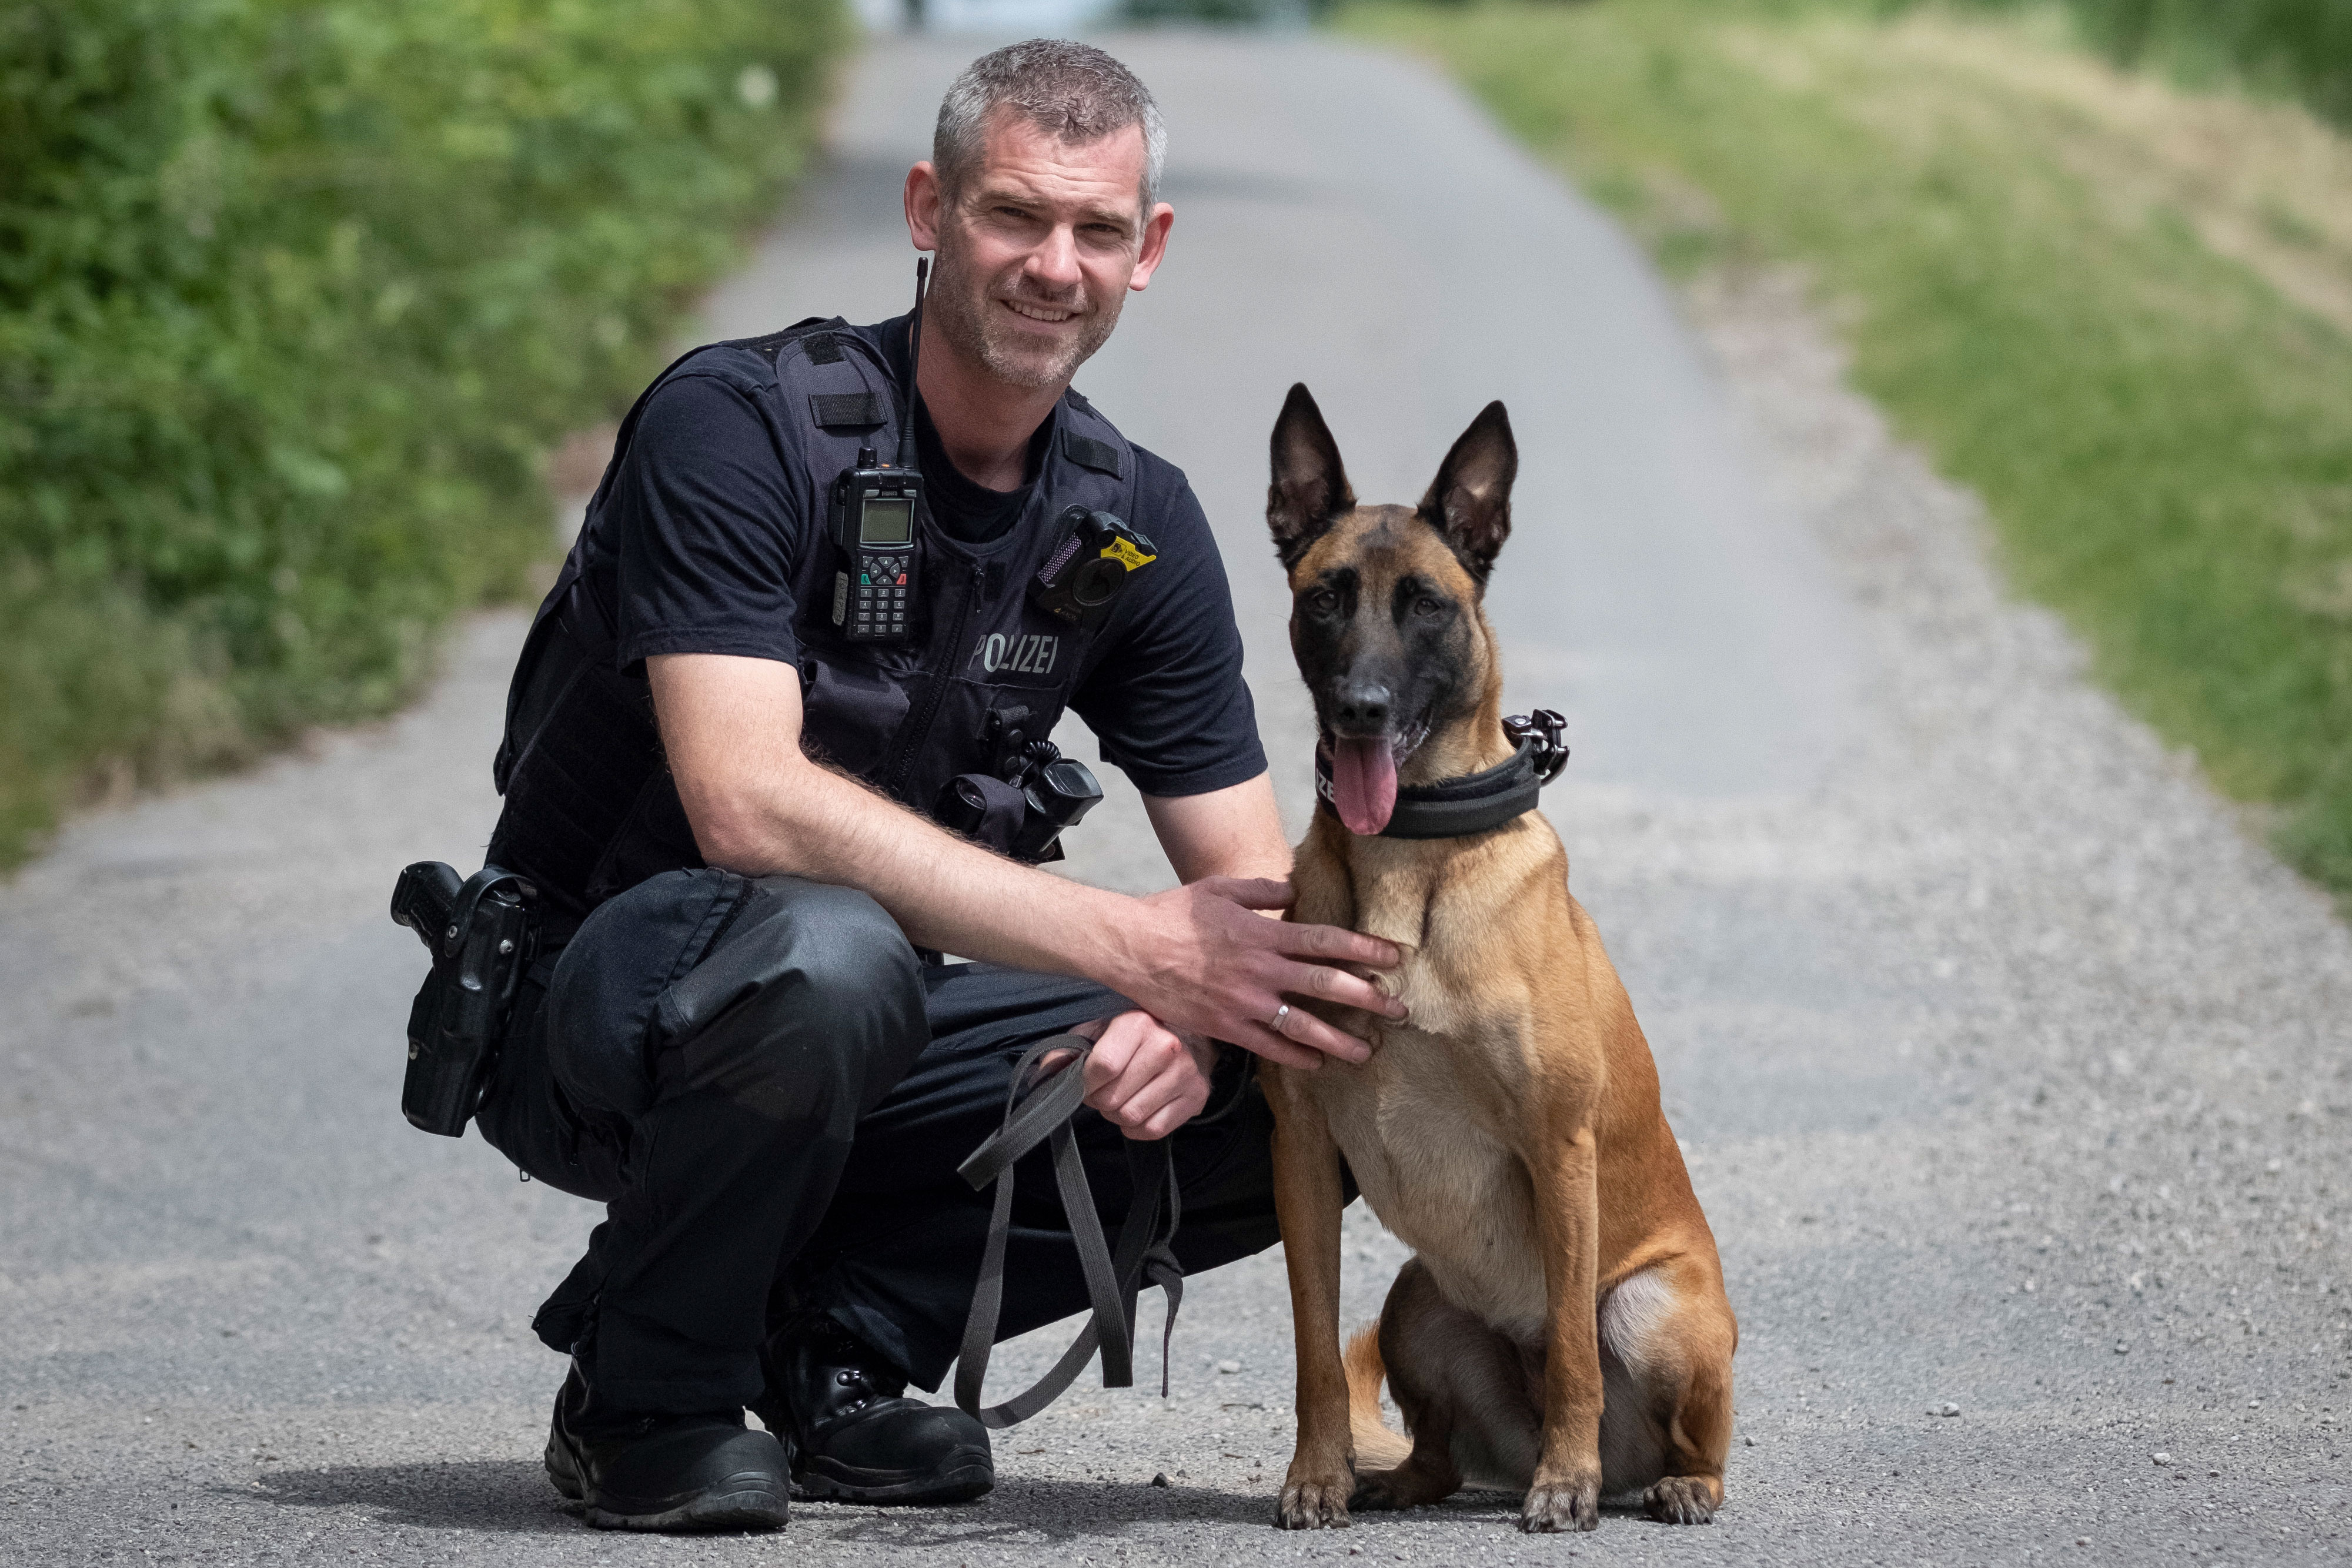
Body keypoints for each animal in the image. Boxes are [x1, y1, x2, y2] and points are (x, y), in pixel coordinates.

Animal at [1261, 390, 1740, 1533]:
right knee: (1434, 1449)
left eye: (1427, 605)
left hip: (1655, 1304)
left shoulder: (1558, 1146)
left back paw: (1654, 1479)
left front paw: (1563, 1485)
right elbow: (1313, 1350)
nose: (1362, 708)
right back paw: (1398, 1478)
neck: (1410, 855)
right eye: (1326, 599)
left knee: (1681, 1423)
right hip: (1416, 1302)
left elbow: (1569, 1348)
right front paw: (1316, 1475)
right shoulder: (1301, 1151)